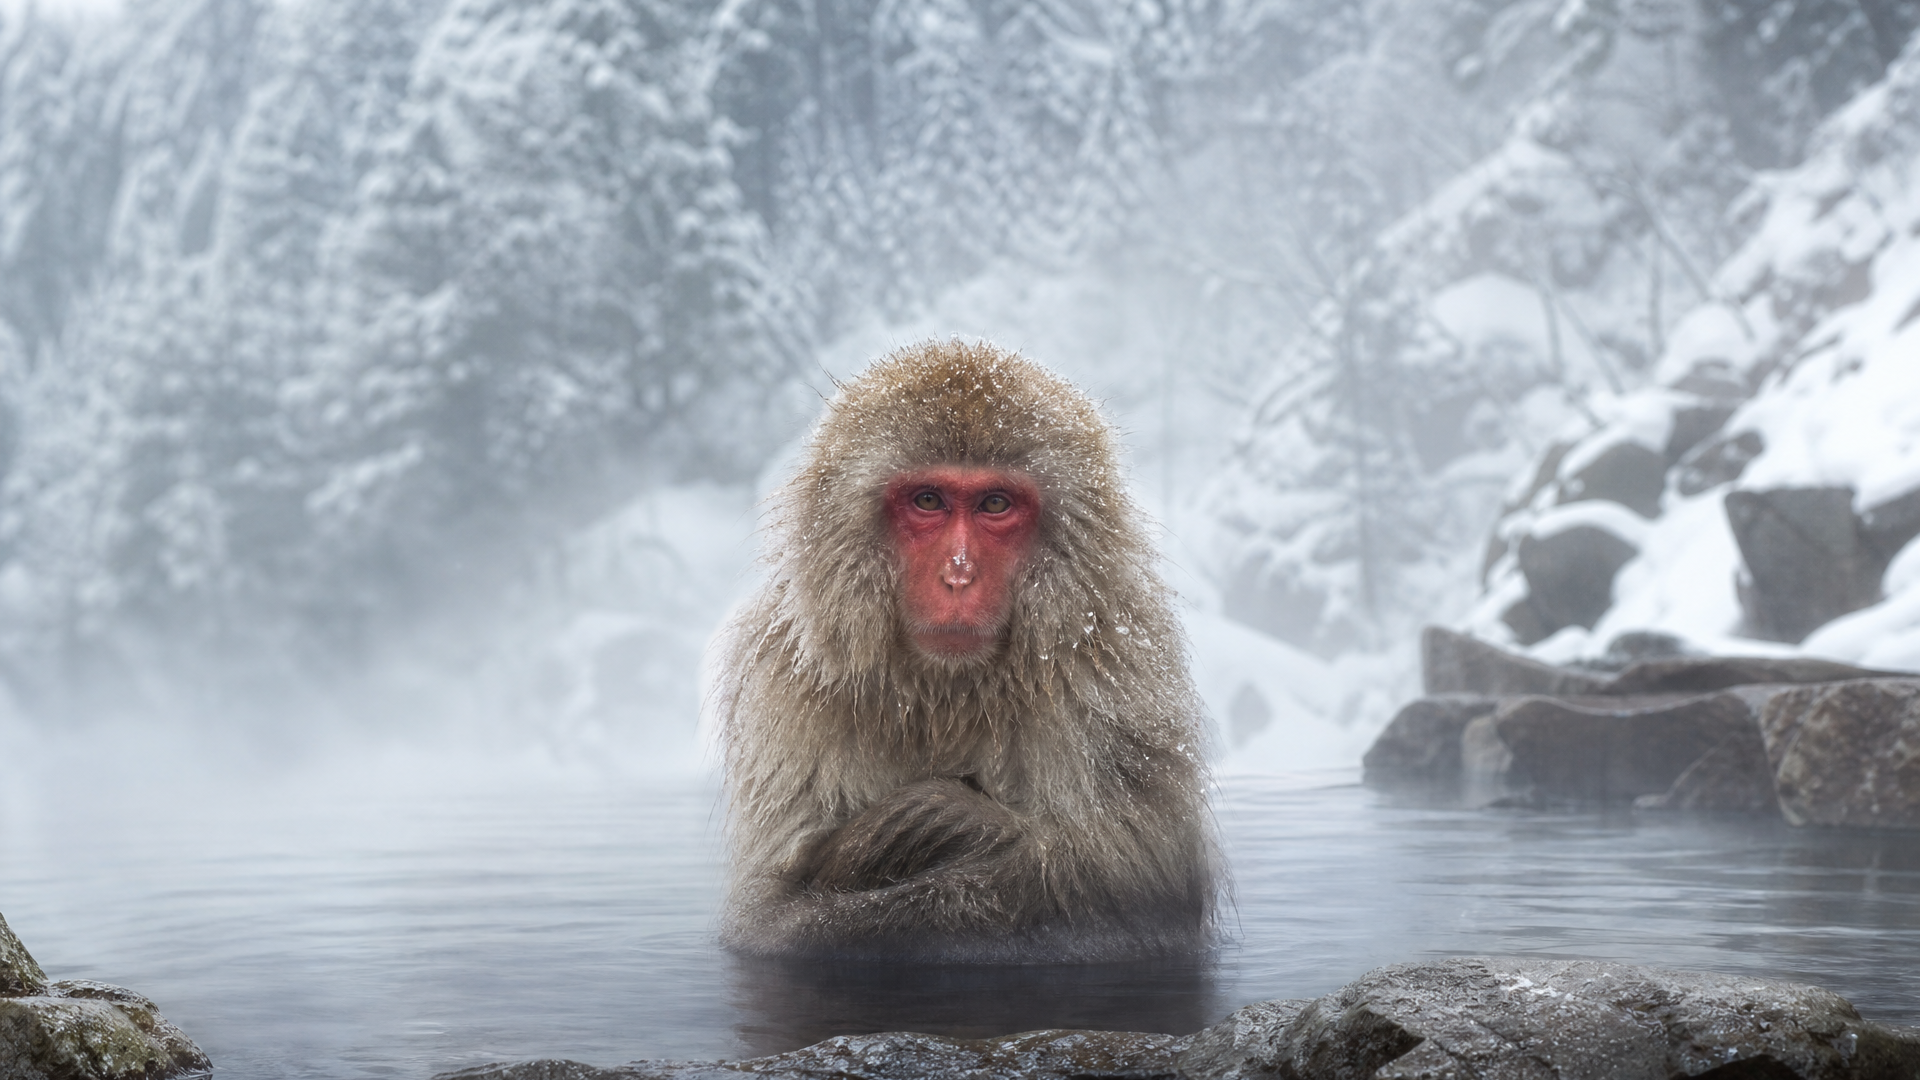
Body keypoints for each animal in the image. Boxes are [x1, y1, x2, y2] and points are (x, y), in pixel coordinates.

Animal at [710, 339, 1219, 963]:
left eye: (994, 504)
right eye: (928, 500)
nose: (959, 574)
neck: (947, 692)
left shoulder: (1118, 674)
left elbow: (1148, 883)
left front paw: (950, 821)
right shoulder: (781, 686)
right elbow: (770, 919)